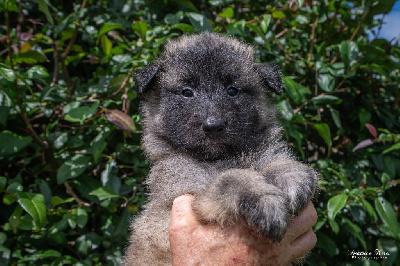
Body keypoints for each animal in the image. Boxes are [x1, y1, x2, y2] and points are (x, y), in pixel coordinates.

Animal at [123, 32, 318, 264]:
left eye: (232, 90)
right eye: (187, 92)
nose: (213, 125)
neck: (219, 159)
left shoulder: (264, 152)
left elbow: (278, 161)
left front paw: (292, 177)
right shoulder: (188, 196)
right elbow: (231, 178)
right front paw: (265, 200)